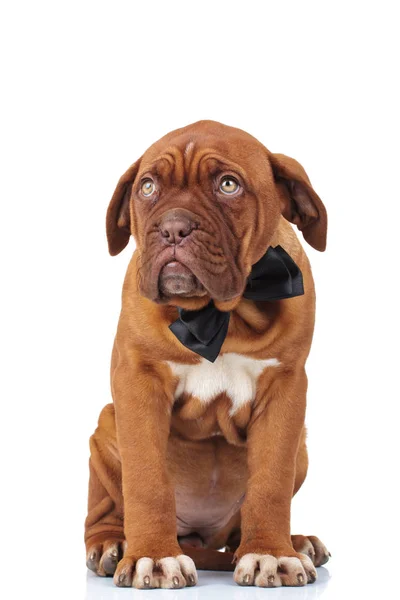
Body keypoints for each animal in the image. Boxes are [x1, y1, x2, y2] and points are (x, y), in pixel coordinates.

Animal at [83, 119, 328, 588]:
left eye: (228, 185)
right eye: (147, 187)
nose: (174, 227)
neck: (221, 315)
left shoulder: (286, 390)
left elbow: (271, 481)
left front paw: (271, 553)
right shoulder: (138, 383)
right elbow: (147, 481)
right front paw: (154, 556)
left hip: (303, 447)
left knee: (241, 527)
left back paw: (295, 541)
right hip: (106, 426)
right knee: (104, 512)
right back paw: (111, 544)